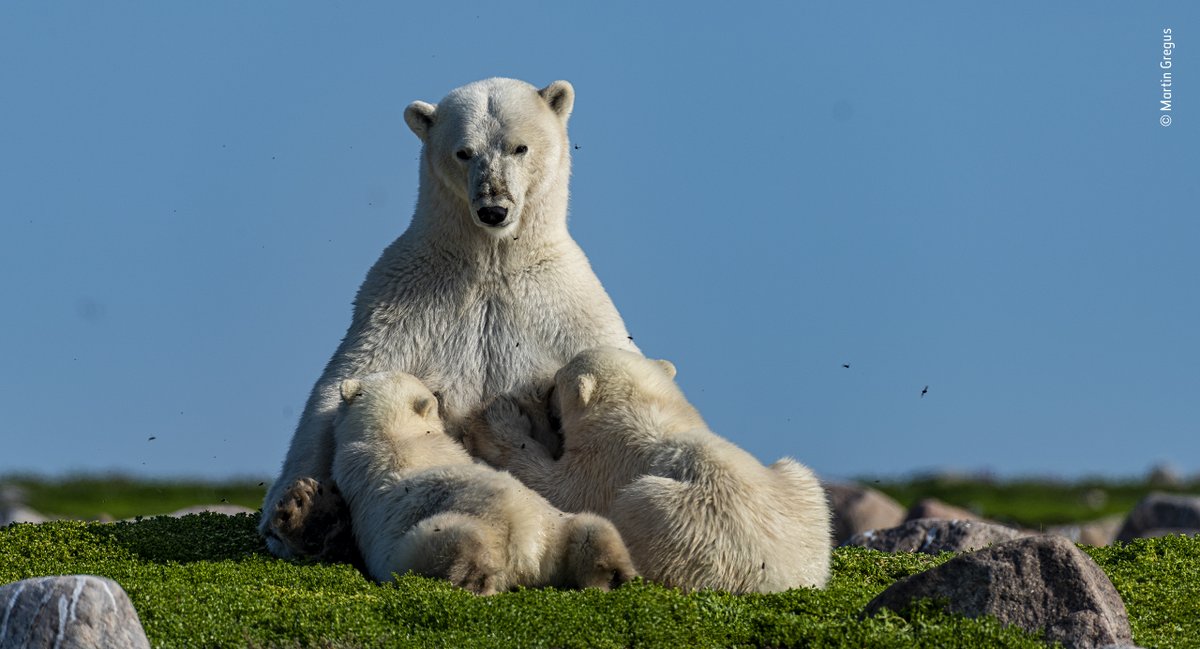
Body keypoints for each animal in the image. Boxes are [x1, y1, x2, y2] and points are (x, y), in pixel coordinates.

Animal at [260, 77, 638, 558]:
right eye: (464, 151)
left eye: (519, 147)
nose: (493, 208)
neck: (491, 261)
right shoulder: (402, 302)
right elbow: (341, 386)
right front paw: (299, 508)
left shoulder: (566, 308)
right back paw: (309, 512)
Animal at [465, 346, 832, 593]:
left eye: (556, 383)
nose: (543, 390)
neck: (643, 406)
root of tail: (780, 580)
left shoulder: (605, 462)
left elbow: (557, 489)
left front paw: (500, 418)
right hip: (802, 491)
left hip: (682, 524)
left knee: (638, 504)